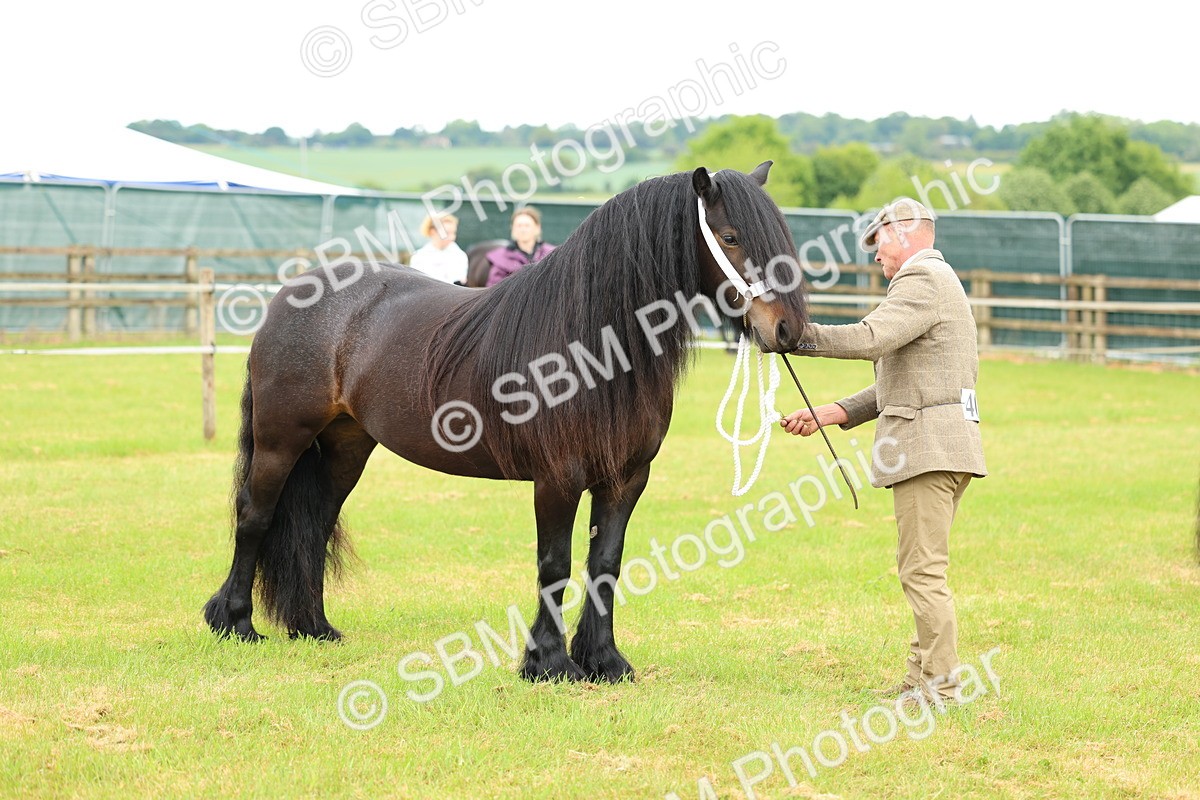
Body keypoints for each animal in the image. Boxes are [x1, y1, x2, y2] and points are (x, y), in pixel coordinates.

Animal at [203, 162, 809, 683]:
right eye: (730, 237)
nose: (788, 331)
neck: (593, 344)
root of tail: (297, 291)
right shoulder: (558, 478)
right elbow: (555, 563)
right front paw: (549, 663)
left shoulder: (627, 478)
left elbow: (605, 563)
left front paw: (605, 662)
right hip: (281, 440)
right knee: (255, 516)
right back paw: (234, 622)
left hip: (345, 447)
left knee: (315, 523)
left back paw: (313, 628)